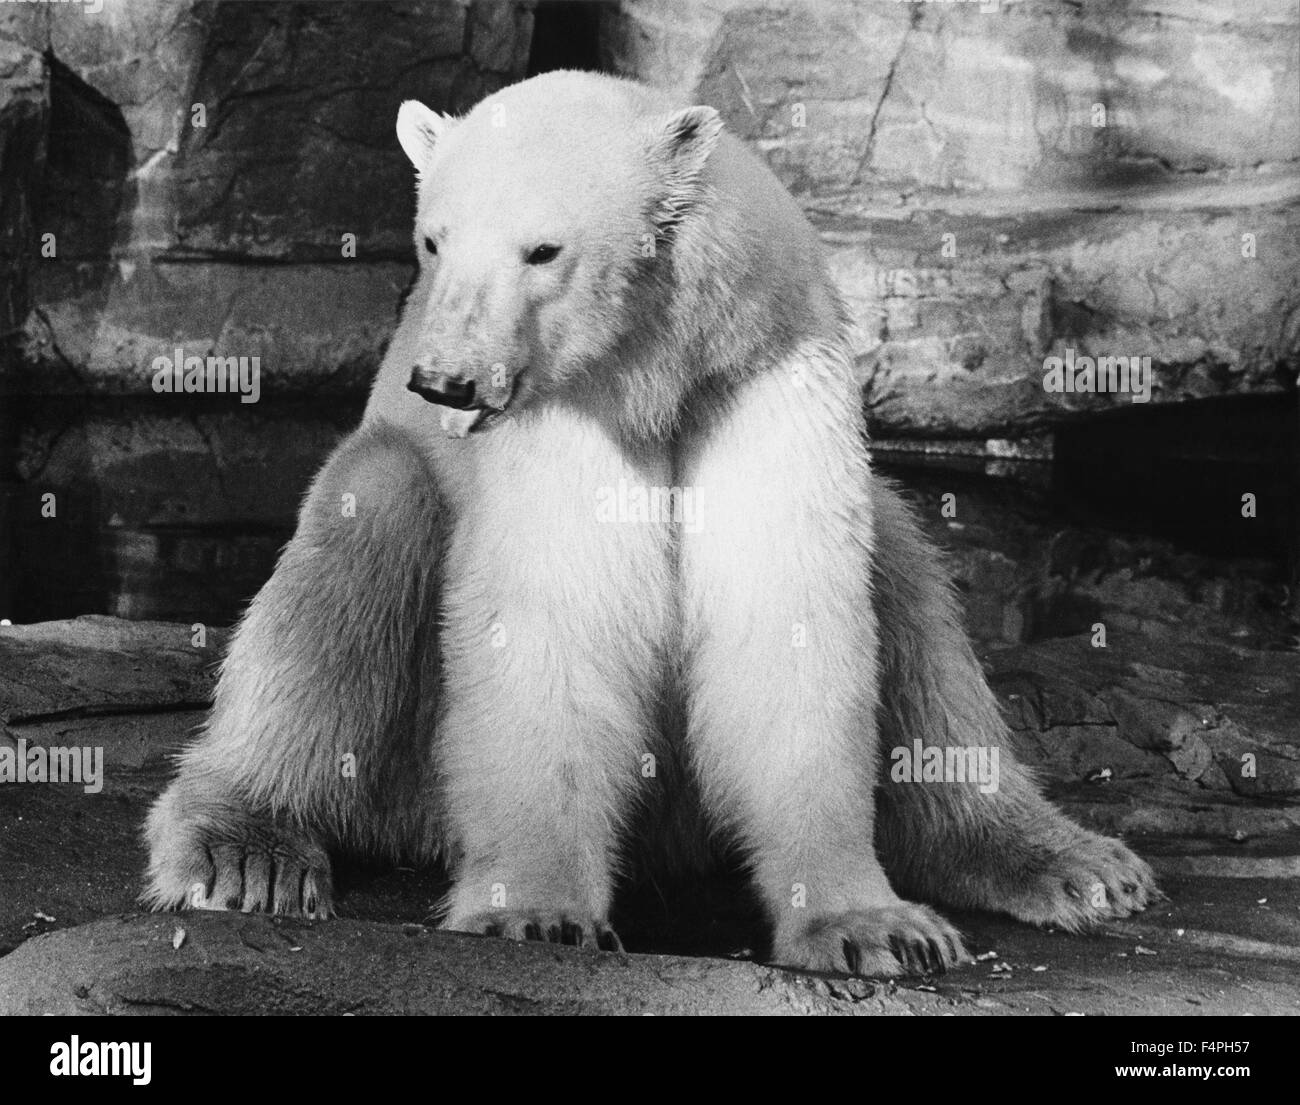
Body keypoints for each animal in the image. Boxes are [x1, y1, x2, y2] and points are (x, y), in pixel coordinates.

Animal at [143, 70, 1157, 976]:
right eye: (433, 239)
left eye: (542, 249)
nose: (445, 382)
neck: (656, 369)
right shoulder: (566, 412)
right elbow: (553, 624)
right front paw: (539, 913)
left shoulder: (761, 375)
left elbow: (790, 618)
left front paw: (876, 927)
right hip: (408, 756)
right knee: (361, 535)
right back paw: (249, 851)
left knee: (905, 574)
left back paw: (1075, 864)